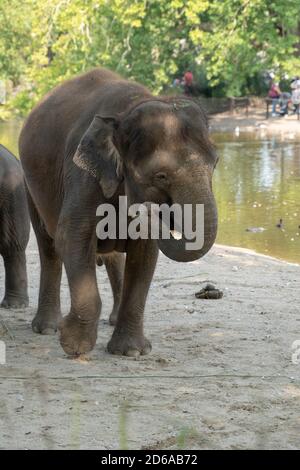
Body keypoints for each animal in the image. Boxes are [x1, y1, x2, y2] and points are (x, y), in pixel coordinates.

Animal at [19, 68, 218, 358]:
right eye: (160, 176)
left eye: (216, 164)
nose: (150, 210)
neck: (128, 110)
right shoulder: (81, 174)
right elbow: (72, 237)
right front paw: (74, 346)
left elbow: (144, 255)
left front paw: (131, 352)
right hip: (31, 185)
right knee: (49, 247)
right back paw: (46, 328)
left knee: (113, 256)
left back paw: (111, 320)